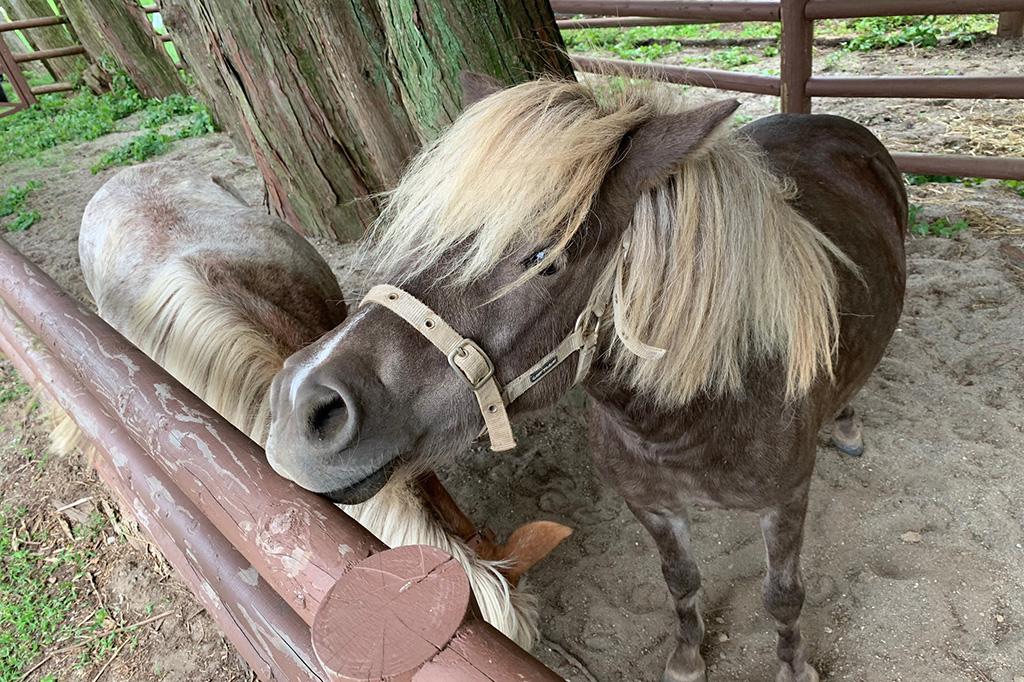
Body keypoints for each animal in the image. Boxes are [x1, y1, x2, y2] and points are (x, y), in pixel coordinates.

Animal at [268, 75, 909, 679]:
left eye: (544, 259)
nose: (300, 405)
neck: (697, 418)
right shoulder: (652, 506)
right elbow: (681, 582)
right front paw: (687, 658)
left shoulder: (786, 502)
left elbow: (783, 597)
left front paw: (795, 667)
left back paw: (846, 425)